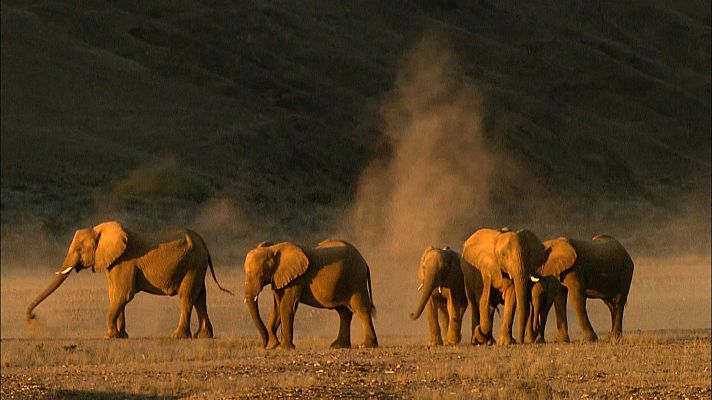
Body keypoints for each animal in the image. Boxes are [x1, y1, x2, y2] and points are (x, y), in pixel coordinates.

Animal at [26, 221, 232, 339]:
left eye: (79, 249)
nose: (33, 319)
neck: (100, 231)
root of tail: (203, 242)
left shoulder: (125, 262)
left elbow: (123, 295)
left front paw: (110, 336)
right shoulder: (114, 263)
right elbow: (115, 296)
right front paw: (121, 336)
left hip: (192, 264)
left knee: (187, 297)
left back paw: (178, 336)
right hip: (197, 265)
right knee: (200, 297)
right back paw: (203, 336)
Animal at [243, 239, 378, 350]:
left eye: (260, 275)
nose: (264, 345)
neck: (273, 249)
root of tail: (364, 262)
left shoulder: (296, 278)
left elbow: (287, 306)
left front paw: (282, 348)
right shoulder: (279, 277)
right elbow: (277, 307)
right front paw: (273, 346)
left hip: (356, 279)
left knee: (361, 309)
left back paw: (366, 345)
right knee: (344, 312)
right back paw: (338, 345)